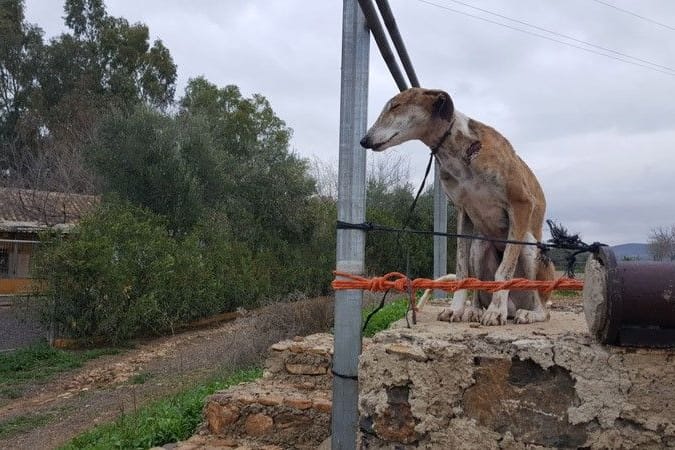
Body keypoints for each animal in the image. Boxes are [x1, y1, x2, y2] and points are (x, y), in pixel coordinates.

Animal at [362, 88, 556, 326]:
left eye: (396, 106)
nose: (364, 140)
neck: (462, 151)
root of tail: (515, 305)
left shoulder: (521, 204)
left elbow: (505, 270)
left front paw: (495, 311)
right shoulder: (464, 213)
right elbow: (463, 271)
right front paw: (456, 309)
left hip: (529, 247)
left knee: (542, 307)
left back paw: (526, 313)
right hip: (480, 244)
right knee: (479, 285)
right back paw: (475, 310)